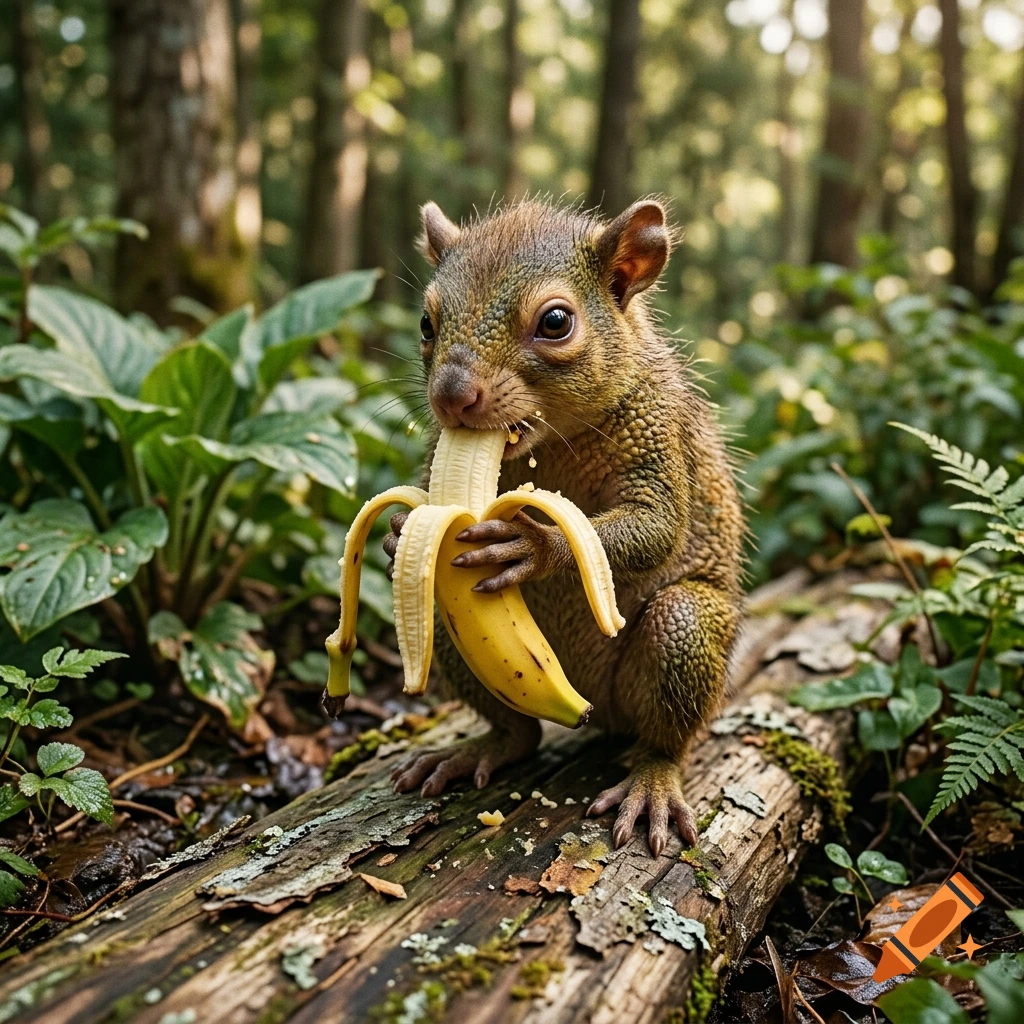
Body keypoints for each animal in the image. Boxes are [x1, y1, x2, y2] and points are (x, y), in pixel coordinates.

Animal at [381, 198, 745, 856]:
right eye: (425, 322)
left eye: (555, 322)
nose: (451, 397)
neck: (548, 446)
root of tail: (590, 710)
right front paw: (399, 537)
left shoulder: (658, 436)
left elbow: (656, 525)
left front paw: (535, 544)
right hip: (454, 631)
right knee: (519, 731)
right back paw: (483, 747)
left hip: (682, 633)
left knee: (664, 736)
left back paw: (652, 782)